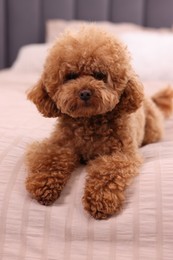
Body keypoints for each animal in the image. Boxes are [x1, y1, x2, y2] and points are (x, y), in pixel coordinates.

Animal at [24, 24, 173, 219]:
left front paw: (100, 200)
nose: (85, 93)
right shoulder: (59, 146)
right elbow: (50, 160)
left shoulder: (120, 155)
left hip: (152, 130)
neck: (89, 121)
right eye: (70, 76)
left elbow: (107, 173)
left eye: (100, 75)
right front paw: (44, 186)